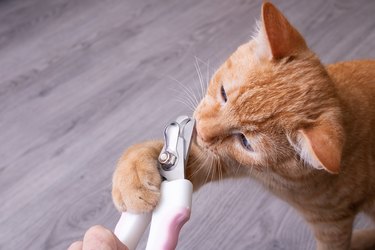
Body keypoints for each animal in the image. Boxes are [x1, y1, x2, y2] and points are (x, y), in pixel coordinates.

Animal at [113, 2, 375, 250]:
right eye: (223, 93)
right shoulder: (212, 160)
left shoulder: (332, 224)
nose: (202, 131)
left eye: (245, 141)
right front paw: (132, 177)